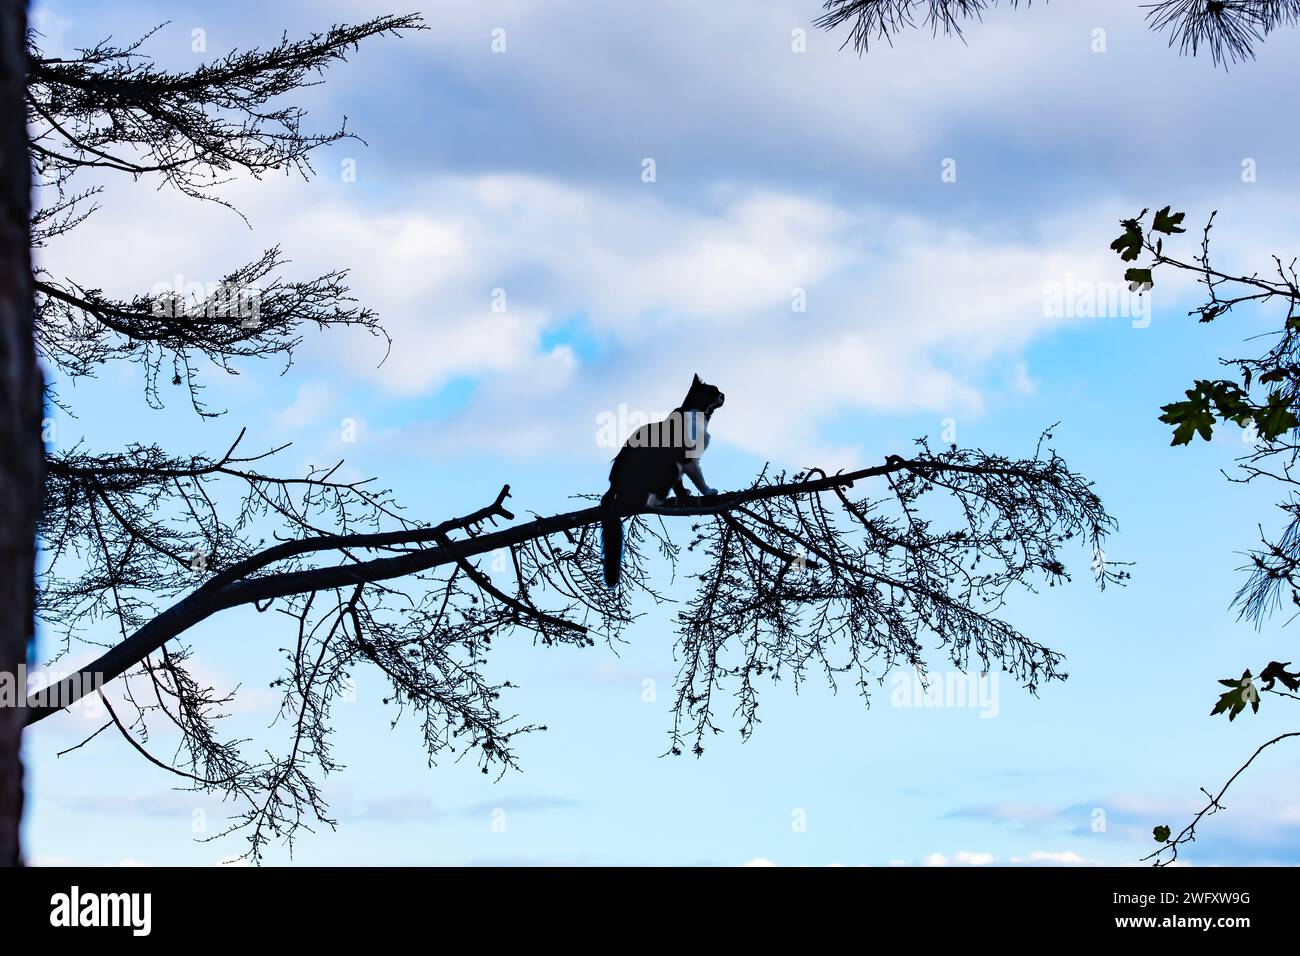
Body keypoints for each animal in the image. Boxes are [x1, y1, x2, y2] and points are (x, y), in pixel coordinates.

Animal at [598, 374, 722, 587]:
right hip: (666, 465)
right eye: (714, 390)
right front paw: (707, 491)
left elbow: (680, 483)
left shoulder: (683, 465)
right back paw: (660, 500)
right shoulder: (686, 459)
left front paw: (684, 494)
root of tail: (614, 484)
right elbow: (697, 478)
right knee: (650, 499)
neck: (698, 416)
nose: (723, 394)